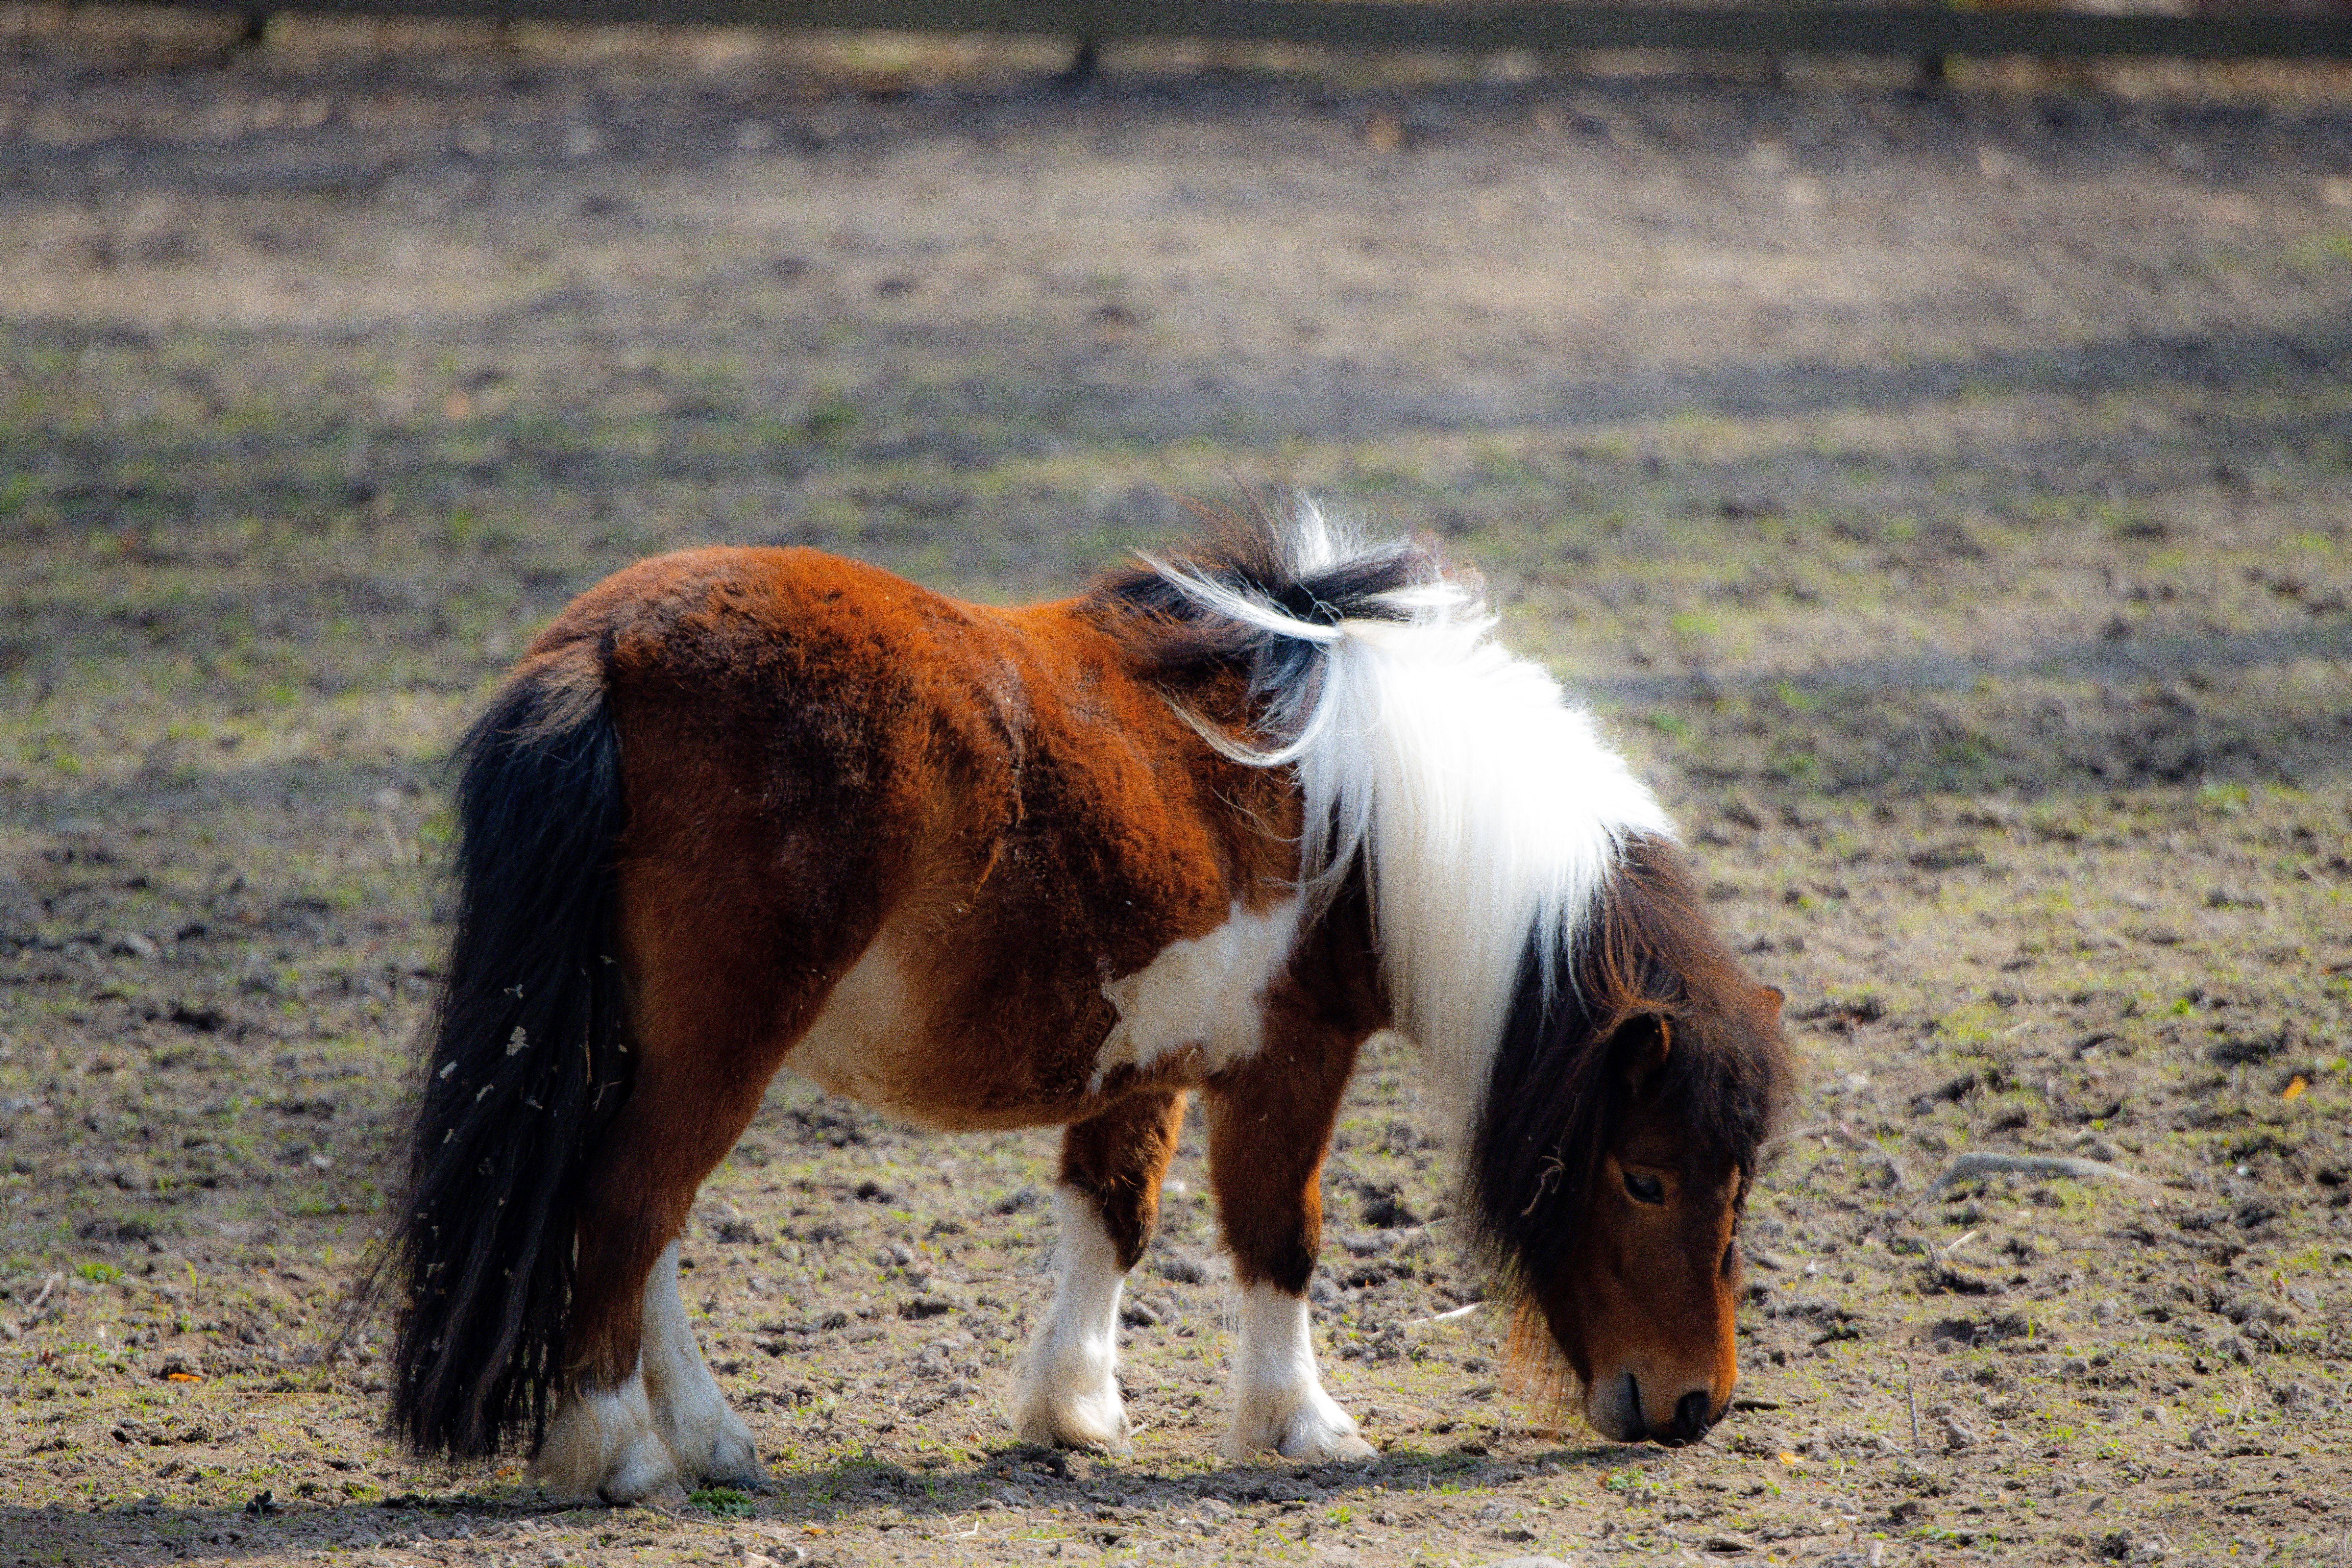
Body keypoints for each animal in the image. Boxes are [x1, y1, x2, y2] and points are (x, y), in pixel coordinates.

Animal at [361, 498, 1792, 1503]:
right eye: (1647, 1176)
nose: (1696, 1406)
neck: (1370, 808)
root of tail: (608, 649)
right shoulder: (1289, 1060)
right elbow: (1281, 1236)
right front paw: (1305, 1426)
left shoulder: (1146, 1054)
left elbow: (1113, 1217)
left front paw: (1075, 1411)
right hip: (721, 1041)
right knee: (626, 1208)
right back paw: (619, 1452)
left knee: (639, 1228)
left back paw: (709, 1439)